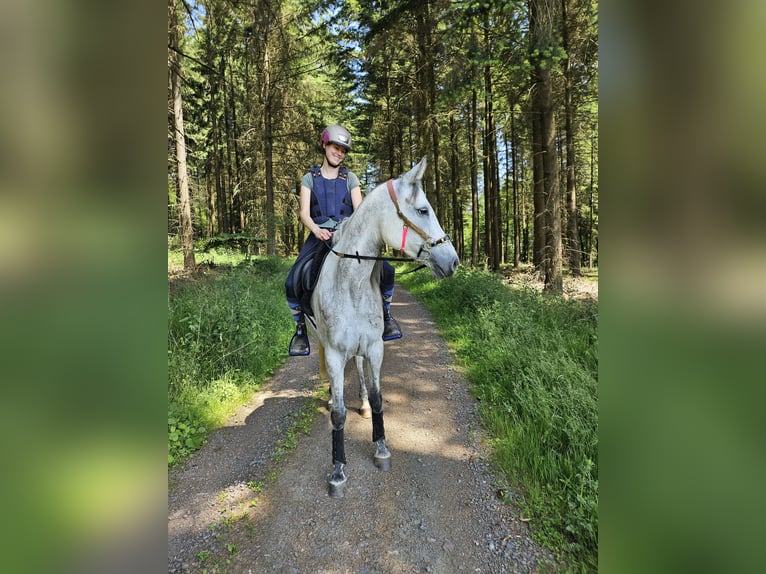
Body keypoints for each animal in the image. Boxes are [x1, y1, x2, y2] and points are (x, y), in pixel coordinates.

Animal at [308, 156, 460, 497]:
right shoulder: (334, 353)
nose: (454, 261)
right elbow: (338, 414)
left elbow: (379, 398)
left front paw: (381, 448)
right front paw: (338, 471)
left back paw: (362, 403)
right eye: (423, 210)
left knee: (360, 369)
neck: (352, 283)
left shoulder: (375, 347)